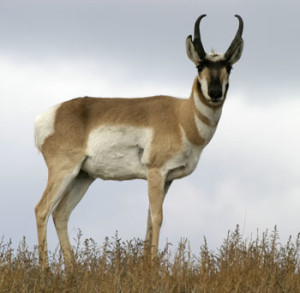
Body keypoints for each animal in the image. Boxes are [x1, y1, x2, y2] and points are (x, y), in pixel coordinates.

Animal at [34, 15, 244, 266]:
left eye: (229, 67)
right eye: (199, 65)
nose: (214, 92)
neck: (181, 116)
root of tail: (49, 116)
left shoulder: (167, 179)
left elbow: (149, 219)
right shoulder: (155, 172)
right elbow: (158, 216)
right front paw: (153, 266)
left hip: (83, 176)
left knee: (60, 213)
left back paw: (73, 269)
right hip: (64, 171)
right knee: (42, 210)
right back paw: (45, 270)